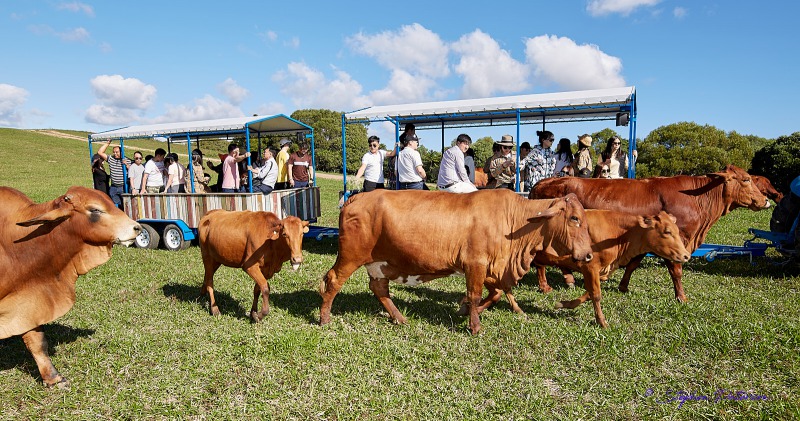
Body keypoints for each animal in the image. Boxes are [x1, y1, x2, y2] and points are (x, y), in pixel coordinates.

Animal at [318, 189, 592, 334]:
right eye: (575, 219)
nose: (589, 254)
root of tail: (358, 197)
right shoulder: (476, 264)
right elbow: (475, 294)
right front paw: (474, 325)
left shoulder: (490, 268)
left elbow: (495, 294)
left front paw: (465, 310)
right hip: (351, 256)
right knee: (332, 281)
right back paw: (324, 318)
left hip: (379, 264)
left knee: (379, 289)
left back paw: (399, 317)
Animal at [532, 164, 768, 302]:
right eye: (746, 180)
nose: (765, 200)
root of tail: (544, 181)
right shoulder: (677, 241)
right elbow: (676, 270)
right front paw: (681, 297)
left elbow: (633, 264)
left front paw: (623, 286)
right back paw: (545, 286)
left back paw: (568, 279)